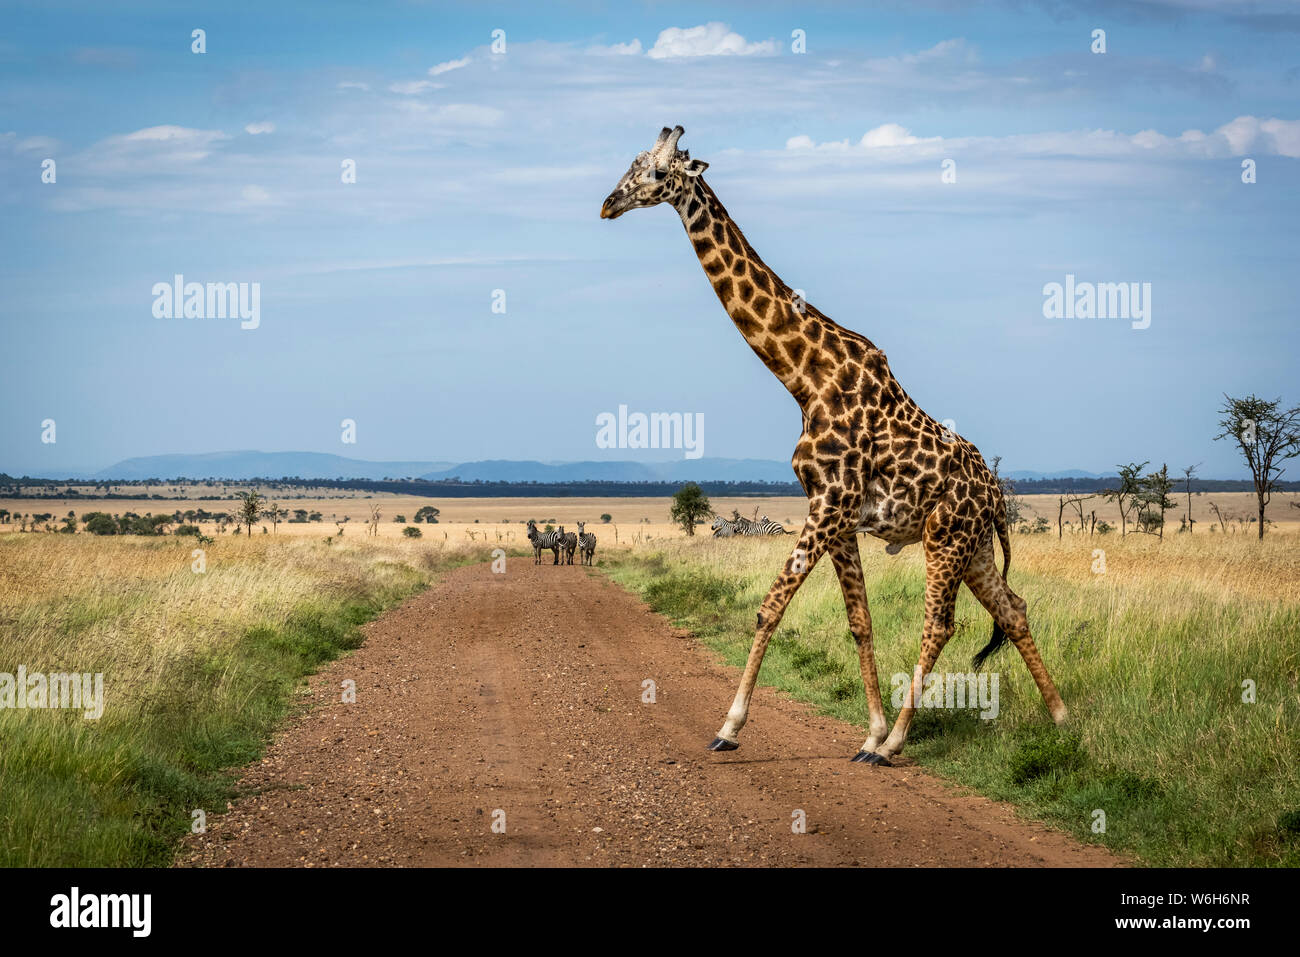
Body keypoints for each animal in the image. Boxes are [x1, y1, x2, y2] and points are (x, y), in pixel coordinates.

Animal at [601, 126, 1067, 765]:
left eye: (654, 170)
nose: (607, 204)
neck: (803, 376)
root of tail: (995, 493)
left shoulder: (827, 504)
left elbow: (770, 607)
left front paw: (730, 727)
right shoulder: (838, 515)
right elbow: (860, 621)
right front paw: (866, 729)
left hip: (945, 538)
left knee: (941, 623)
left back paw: (896, 743)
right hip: (971, 546)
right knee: (1013, 609)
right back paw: (1062, 718)